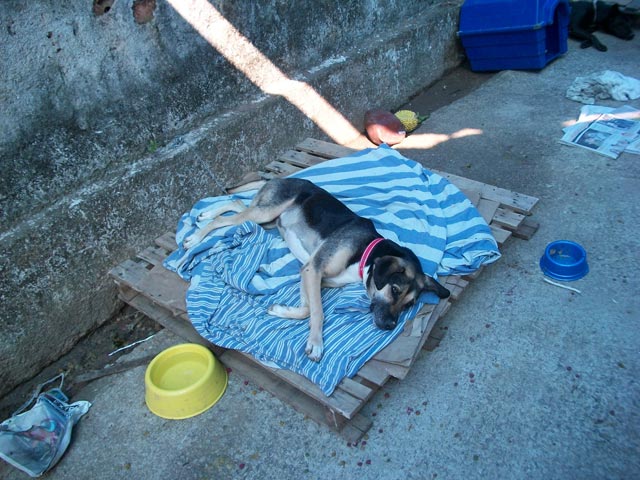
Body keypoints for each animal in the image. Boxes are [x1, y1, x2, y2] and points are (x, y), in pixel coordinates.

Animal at [181, 178, 450, 362]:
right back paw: (195, 237)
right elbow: (318, 312)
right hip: (267, 212)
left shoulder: (309, 272)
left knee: (237, 204)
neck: (364, 254)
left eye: (409, 304)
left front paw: (280, 310)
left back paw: (206, 213)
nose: (390, 326)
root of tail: (287, 177)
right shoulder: (314, 269)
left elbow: (306, 310)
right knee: (225, 219)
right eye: (394, 289)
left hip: (266, 220)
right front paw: (316, 344)